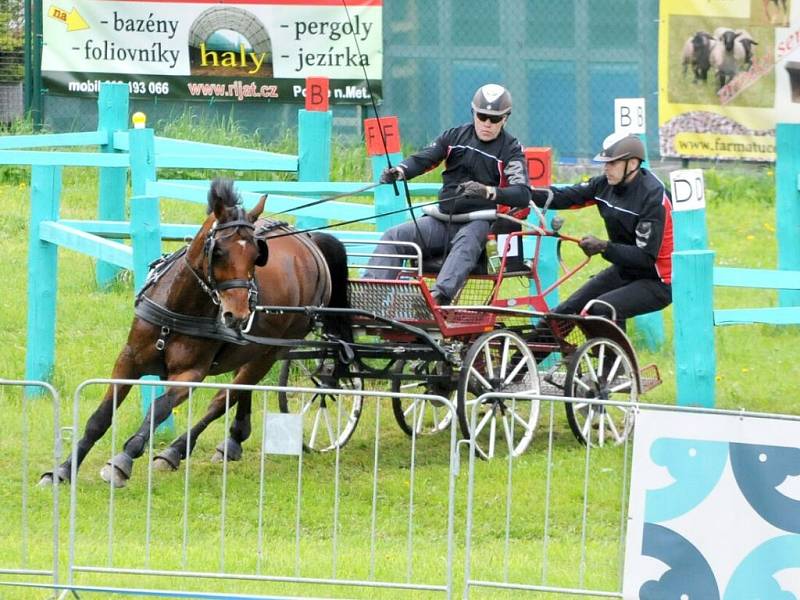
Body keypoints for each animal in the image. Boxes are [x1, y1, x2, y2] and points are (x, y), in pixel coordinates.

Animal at [40, 179, 352, 488]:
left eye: (256, 255)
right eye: (219, 251)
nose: (238, 314)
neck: (179, 306)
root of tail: (310, 243)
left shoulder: (190, 373)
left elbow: (159, 409)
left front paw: (122, 460)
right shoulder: (129, 360)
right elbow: (100, 417)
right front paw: (63, 470)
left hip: (272, 350)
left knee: (226, 397)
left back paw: (176, 450)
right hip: (249, 349)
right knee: (241, 389)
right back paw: (233, 440)